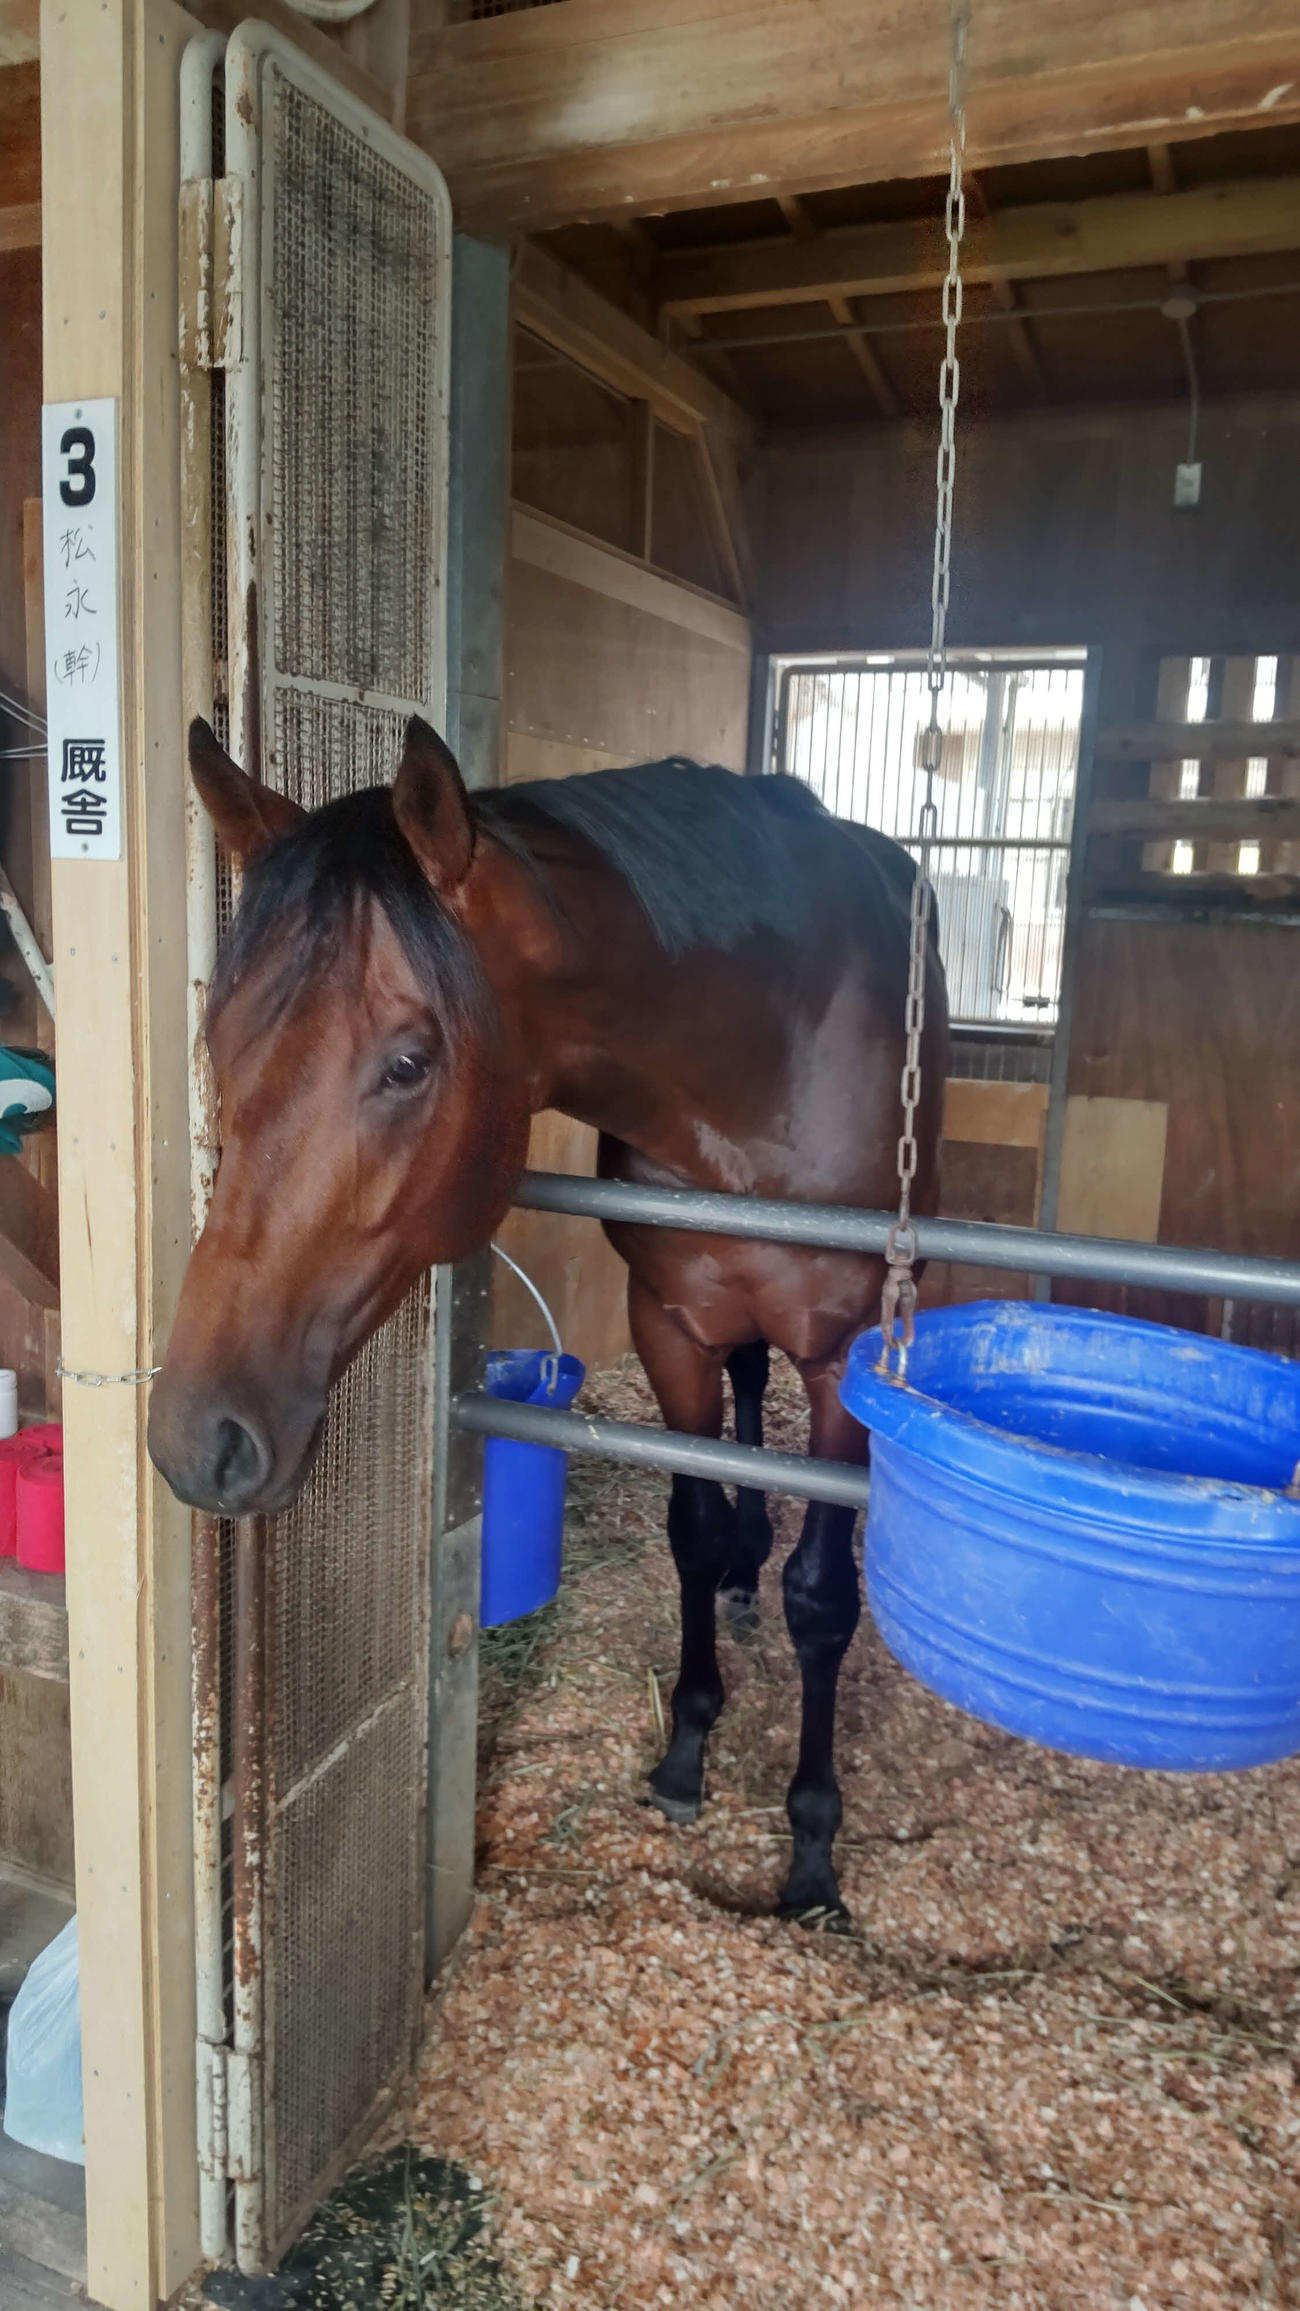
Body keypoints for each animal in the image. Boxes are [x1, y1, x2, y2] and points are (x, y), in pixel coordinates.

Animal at [149, 716, 948, 1925]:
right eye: (217, 1038)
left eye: (407, 1062)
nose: (198, 1440)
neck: (767, 1050)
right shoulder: (667, 1320)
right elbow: (691, 1527)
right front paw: (686, 1748)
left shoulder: (845, 1356)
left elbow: (823, 1599)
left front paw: (812, 1846)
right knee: (745, 1394)